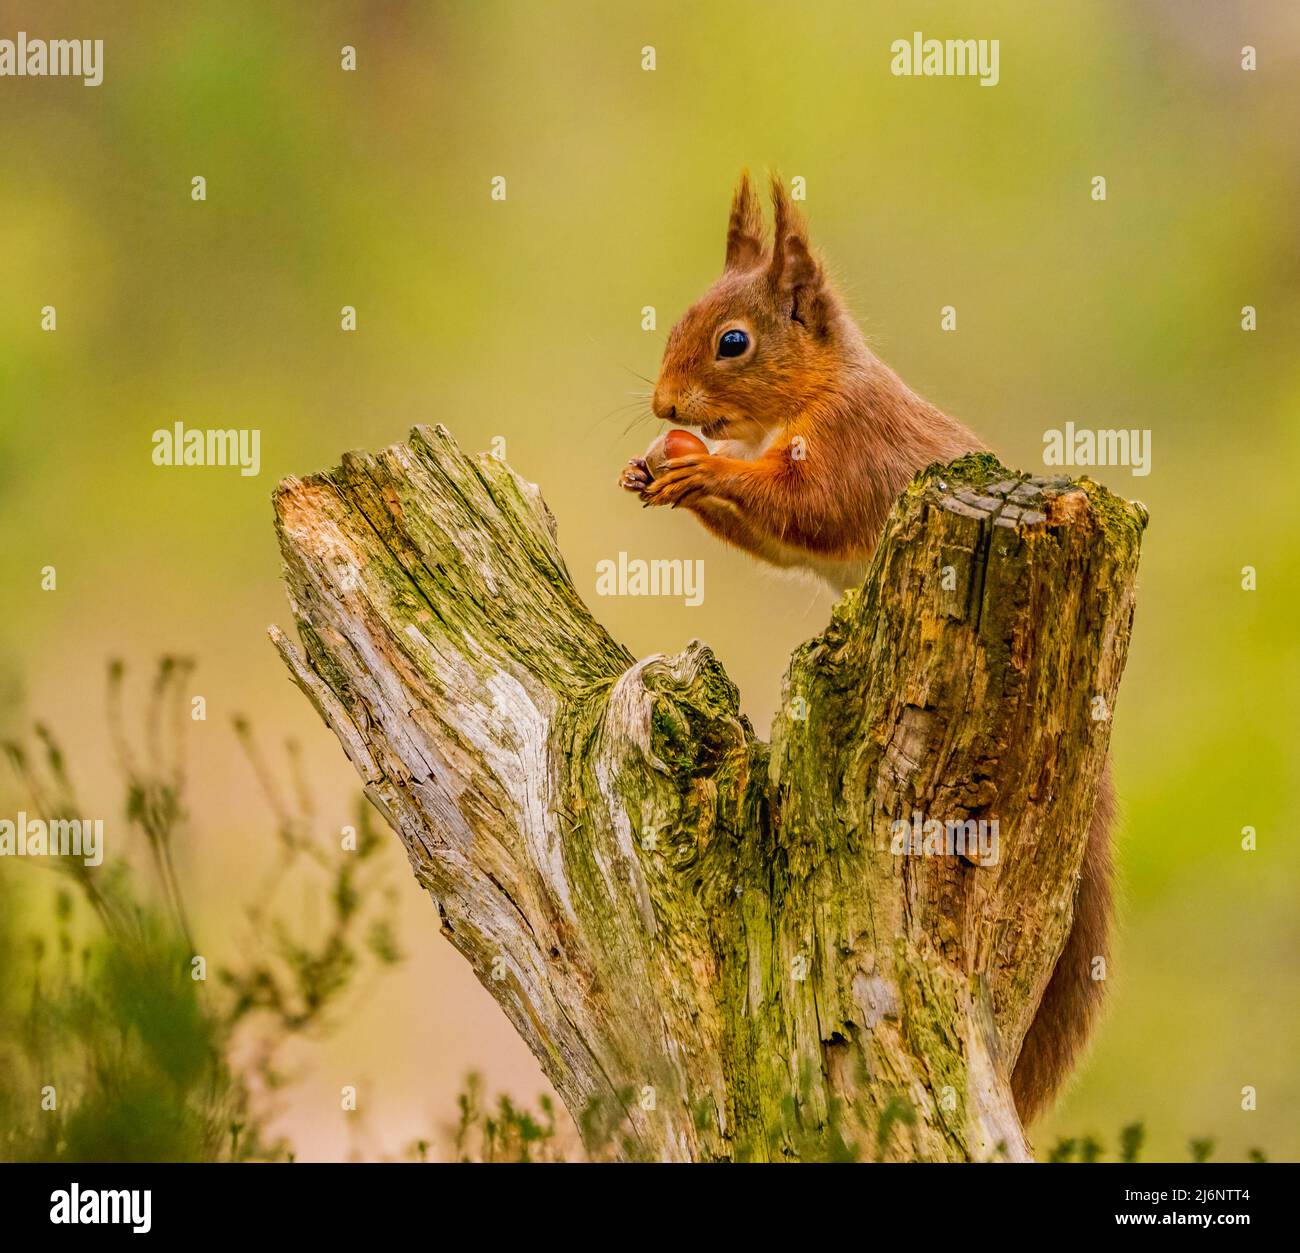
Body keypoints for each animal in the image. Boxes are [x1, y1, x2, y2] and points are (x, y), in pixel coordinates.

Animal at [619, 172, 1113, 1125]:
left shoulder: (851, 449)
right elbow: (775, 537)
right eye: (677, 323)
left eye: (732, 341)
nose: (663, 406)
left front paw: (704, 468)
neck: (806, 399)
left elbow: (806, 510)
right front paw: (659, 467)